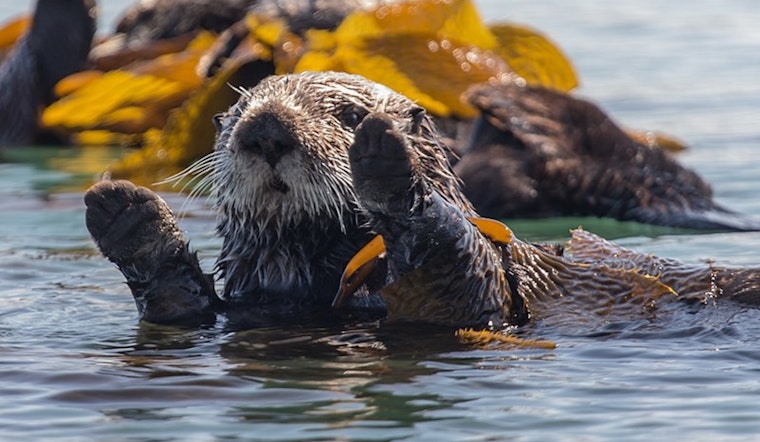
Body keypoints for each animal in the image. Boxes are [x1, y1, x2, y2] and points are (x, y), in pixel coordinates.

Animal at [85, 72, 760, 329]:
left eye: (346, 113)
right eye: (235, 117)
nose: (266, 128)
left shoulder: (485, 297)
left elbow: (462, 277)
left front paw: (386, 160)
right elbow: (177, 307)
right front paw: (127, 216)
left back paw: (521, 103)